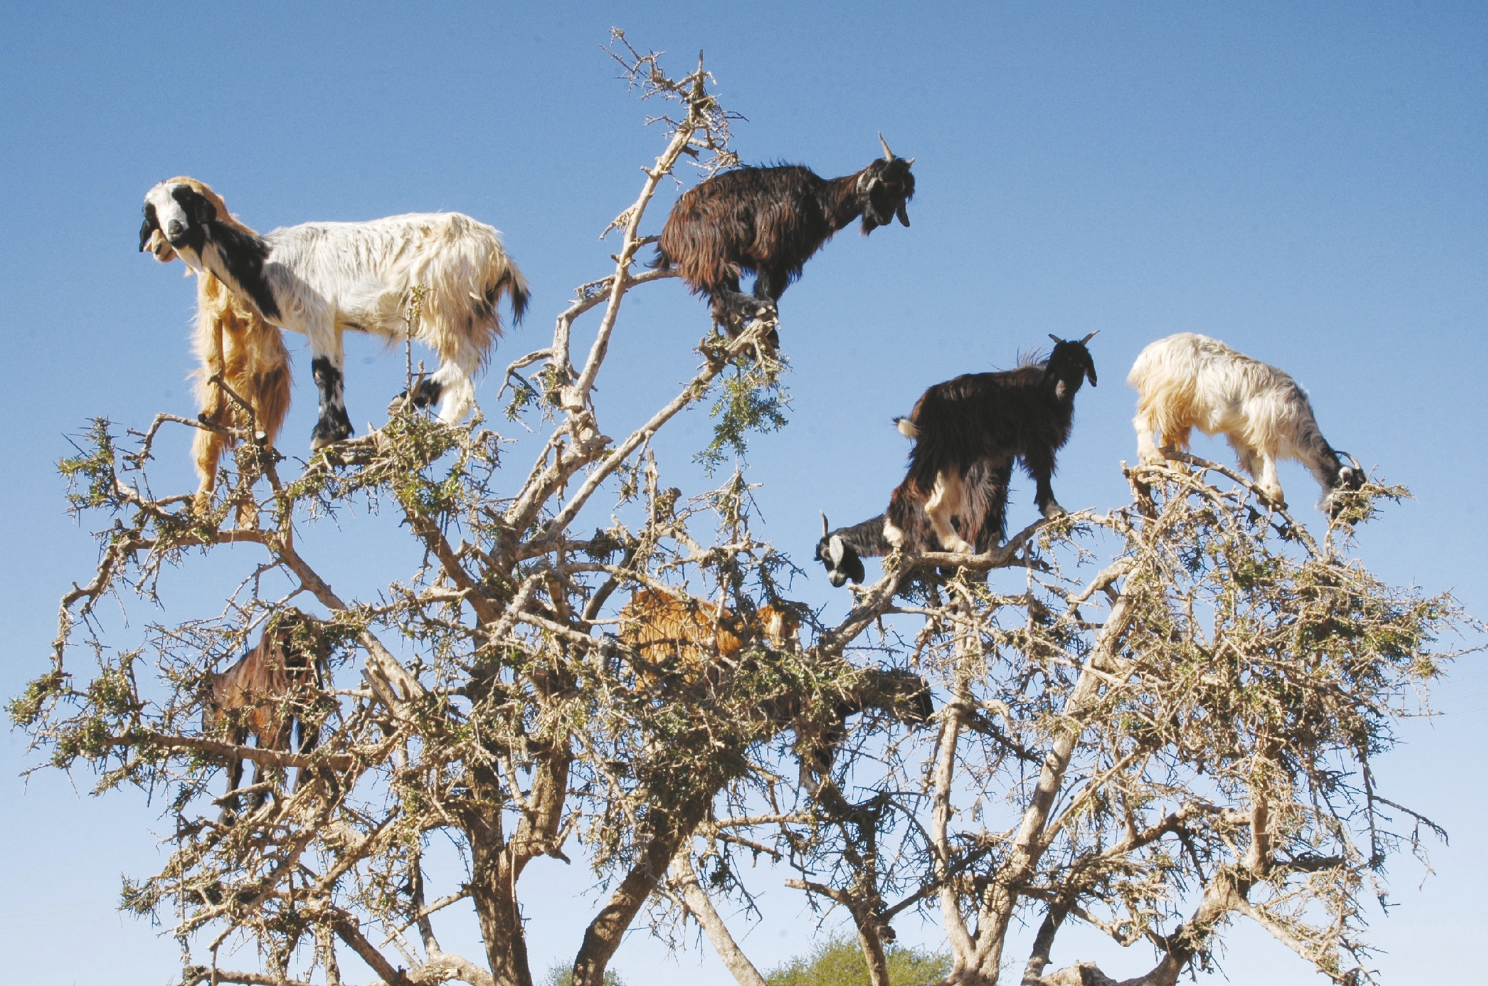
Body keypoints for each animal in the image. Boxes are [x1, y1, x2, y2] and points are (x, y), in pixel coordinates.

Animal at [141, 177, 530, 449]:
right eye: (152, 213)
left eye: (186, 201)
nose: (174, 232)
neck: (265, 260)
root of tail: (497, 254)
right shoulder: (334, 323)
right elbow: (336, 372)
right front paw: (338, 431)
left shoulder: (317, 315)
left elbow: (321, 373)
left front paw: (325, 435)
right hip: (467, 313)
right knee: (465, 374)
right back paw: (440, 425)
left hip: (441, 301)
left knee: (463, 358)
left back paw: (411, 398)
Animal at [202, 610, 329, 817]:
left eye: (204, 703)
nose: (205, 727)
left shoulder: (239, 717)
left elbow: (237, 762)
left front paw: (228, 811)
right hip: (310, 692)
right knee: (307, 738)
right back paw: (299, 786)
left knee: (277, 745)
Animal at [653, 135, 915, 337]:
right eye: (884, 184)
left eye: (903, 193)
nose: (885, 218)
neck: (819, 201)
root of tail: (668, 232)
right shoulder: (772, 250)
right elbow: (766, 288)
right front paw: (767, 316)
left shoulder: (786, 260)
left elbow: (770, 288)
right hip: (710, 250)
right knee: (720, 290)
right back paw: (757, 312)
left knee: (720, 300)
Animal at [885, 334, 1098, 555]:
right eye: (1056, 365)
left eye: (1081, 363)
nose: (1063, 390)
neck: (1044, 390)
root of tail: (924, 404)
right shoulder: (1037, 440)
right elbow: (1043, 473)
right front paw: (1053, 510)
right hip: (936, 449)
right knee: (906, 488)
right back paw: (894, 532)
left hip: (951, 457)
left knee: (933, 505)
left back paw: (958, 545)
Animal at [1127, 332, 1364, 512]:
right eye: (1349, 490)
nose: (1350, 520)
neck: (1298, 420)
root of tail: (1149, 354)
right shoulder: (1266, 426)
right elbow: (1267, 456)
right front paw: (1276, 496)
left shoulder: (1243, 435)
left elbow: (1255, 461)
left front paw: (1265, 495)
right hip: (1165, 394)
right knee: (1143, 421)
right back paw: (1154, 457)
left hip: (1178, 411)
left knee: (1169, 438)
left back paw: (1180, 470)